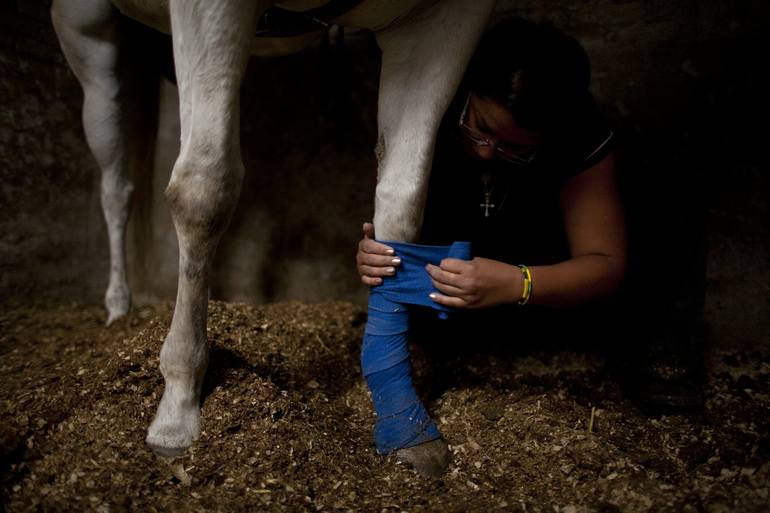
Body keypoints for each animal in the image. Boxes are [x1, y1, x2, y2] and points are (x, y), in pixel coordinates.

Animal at [49, 0, 492, 476]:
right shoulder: (208, 11)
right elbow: (204, 188)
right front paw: (178, 407)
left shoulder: (440, 22)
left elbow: (401, 205)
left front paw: (409, 430)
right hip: (87, 31)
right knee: (116, 187)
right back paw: (117, 307)